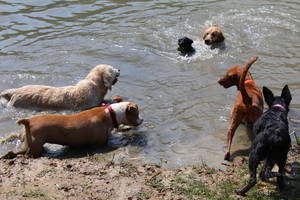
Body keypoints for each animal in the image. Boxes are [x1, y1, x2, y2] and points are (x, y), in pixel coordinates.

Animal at [0, 101, 143, 159]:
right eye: (137, 113)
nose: (142, 120)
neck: (111, 113)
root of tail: (28, 121)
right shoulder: (102, 141)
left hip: (29, 143)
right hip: (33, 147)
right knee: (22, 153)